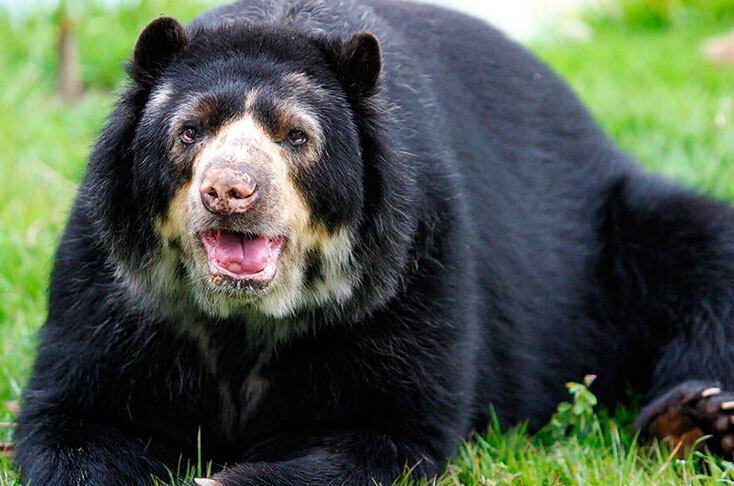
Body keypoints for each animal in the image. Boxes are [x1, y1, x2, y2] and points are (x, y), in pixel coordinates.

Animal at [14, 0, 734, 484]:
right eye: (189, 131)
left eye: (296, 136)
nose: (230, 190)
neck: (244, 318)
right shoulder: (113, 282)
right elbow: (77, 415)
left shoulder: (409, 271)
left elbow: (384, 430)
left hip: (617, 228)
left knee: (704, 253)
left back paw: (696, 419)